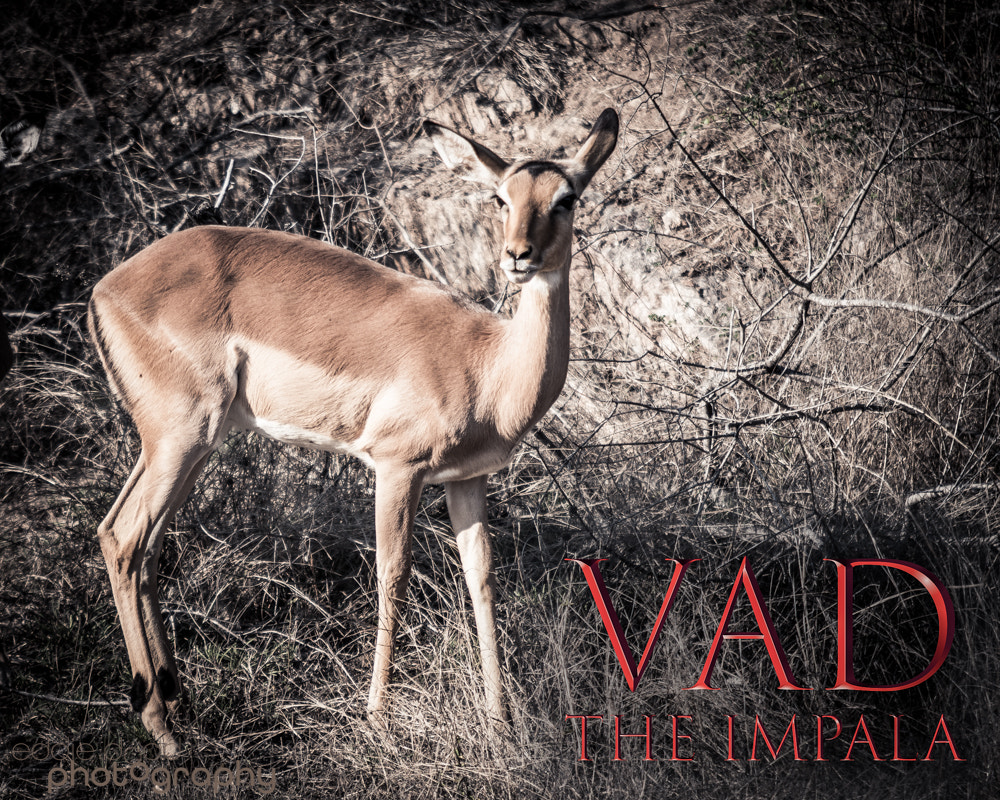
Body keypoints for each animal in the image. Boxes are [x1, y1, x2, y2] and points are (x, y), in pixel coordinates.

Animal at [88, 108, 619, 756]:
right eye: (501, 197)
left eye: (566, 198)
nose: (518, 255)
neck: (487, 365)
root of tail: (105, 288)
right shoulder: (397, 468)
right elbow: (393, 576)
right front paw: (377, 719)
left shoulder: (467, 481)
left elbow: (482, 579)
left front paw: (501, 723)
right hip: (182, 435)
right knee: (123, 537)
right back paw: (162, 729)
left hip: (188, 446)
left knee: (142, 544)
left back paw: (175, 701)